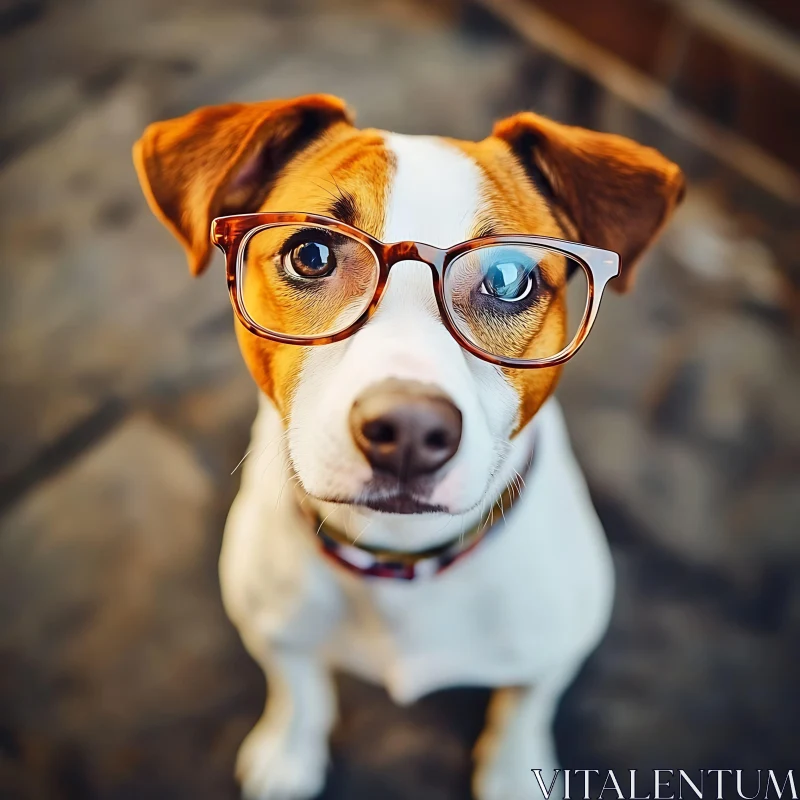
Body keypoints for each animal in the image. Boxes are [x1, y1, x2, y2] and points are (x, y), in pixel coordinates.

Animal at [134, 95, 684, 800]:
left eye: (509, 277)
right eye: (312, 253)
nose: (409, 432)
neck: (400, 557)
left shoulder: (557, 649)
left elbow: (525, 707)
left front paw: (514, 774)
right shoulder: (271, 623)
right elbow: (297, 681)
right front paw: (290, 750)